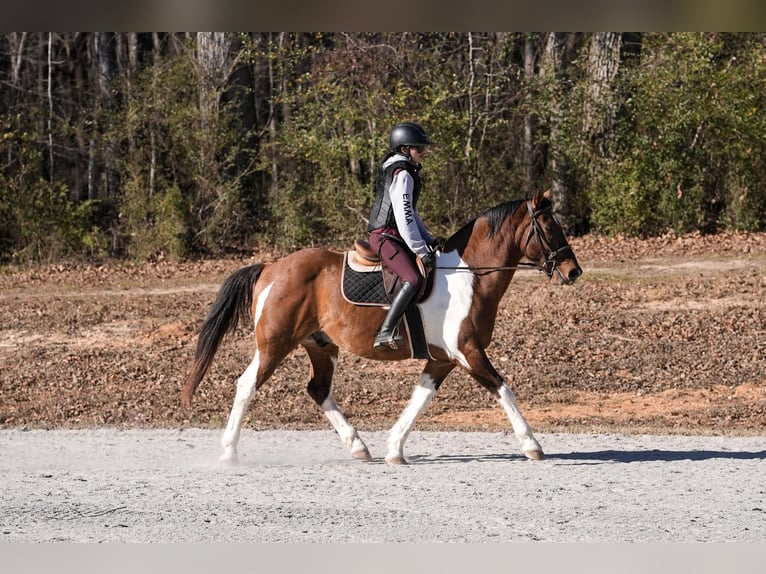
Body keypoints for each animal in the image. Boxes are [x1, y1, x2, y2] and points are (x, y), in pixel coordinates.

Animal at [182, 187, 582, 465]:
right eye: (549, 227)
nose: (573, 271)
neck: (471, 275)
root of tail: (270, 268)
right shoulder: (468, 352)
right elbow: (503, 389)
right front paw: (532, 444)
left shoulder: (443, 359)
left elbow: (420, 398)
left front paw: (394, 448)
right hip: (274, 344)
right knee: (247, 385)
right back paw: (229, 453)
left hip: (321, 345)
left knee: (318, 389)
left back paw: (359, 447)